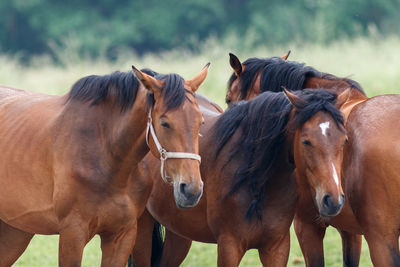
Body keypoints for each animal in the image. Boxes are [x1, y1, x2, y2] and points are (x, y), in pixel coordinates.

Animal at [0, 63, 209, 267]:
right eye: (165, 123)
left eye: (201, 121)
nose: (191, 190)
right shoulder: (72, 233)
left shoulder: (122, 235)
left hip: (16, 231)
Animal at [131, 87, 350, 266]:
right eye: (306, 141)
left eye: (345, 140)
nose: (333, 200)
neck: (258, 183)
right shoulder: (229, 246)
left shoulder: (276, 247)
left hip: (179, 233)